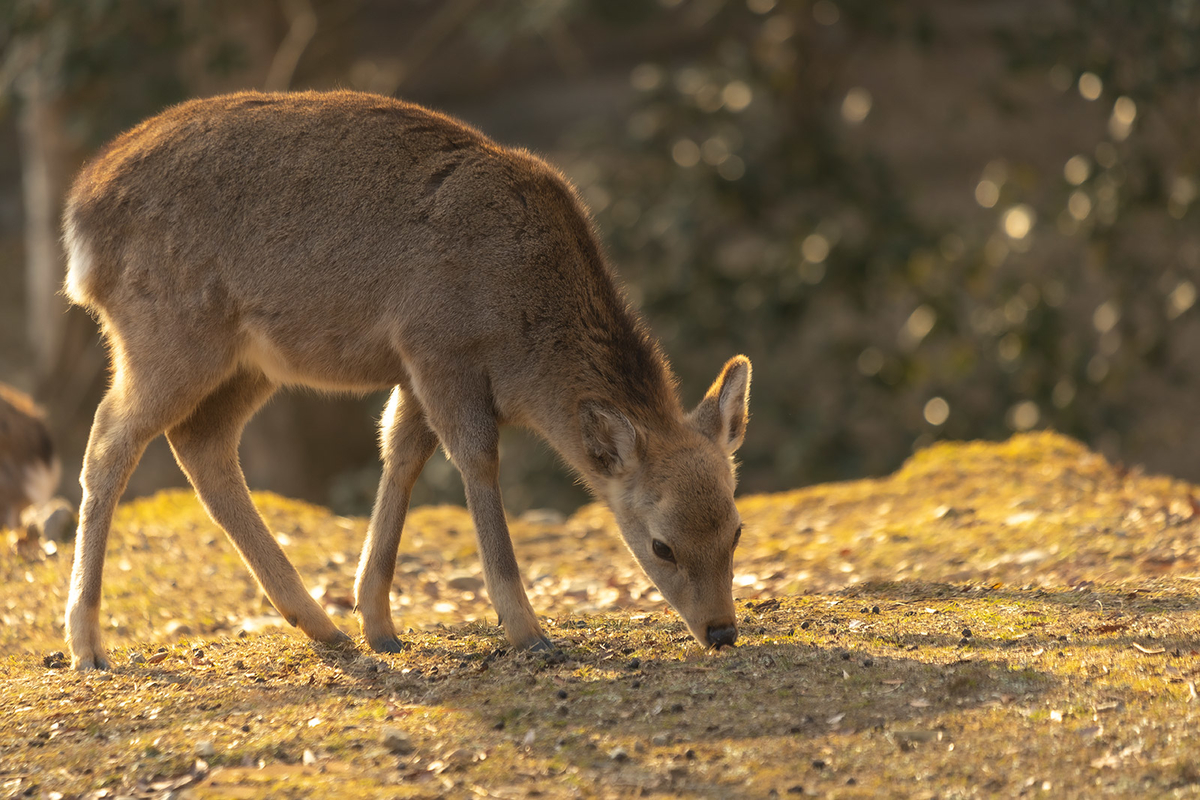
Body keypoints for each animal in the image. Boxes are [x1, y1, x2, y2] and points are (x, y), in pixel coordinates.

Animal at [60, 90, 748, 671]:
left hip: (249, 361)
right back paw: (87, 645)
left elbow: (402, 453)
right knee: (108, 438)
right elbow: (474, 459)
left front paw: (379, 623)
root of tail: (79, 223)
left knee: (200, 442)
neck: (526, 334)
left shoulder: (414, 368)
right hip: (168, 334)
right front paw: (528, 633)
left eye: (736, 529)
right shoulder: (438, 345)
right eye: (661, 546)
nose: (721, 631)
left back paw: (322, 626)